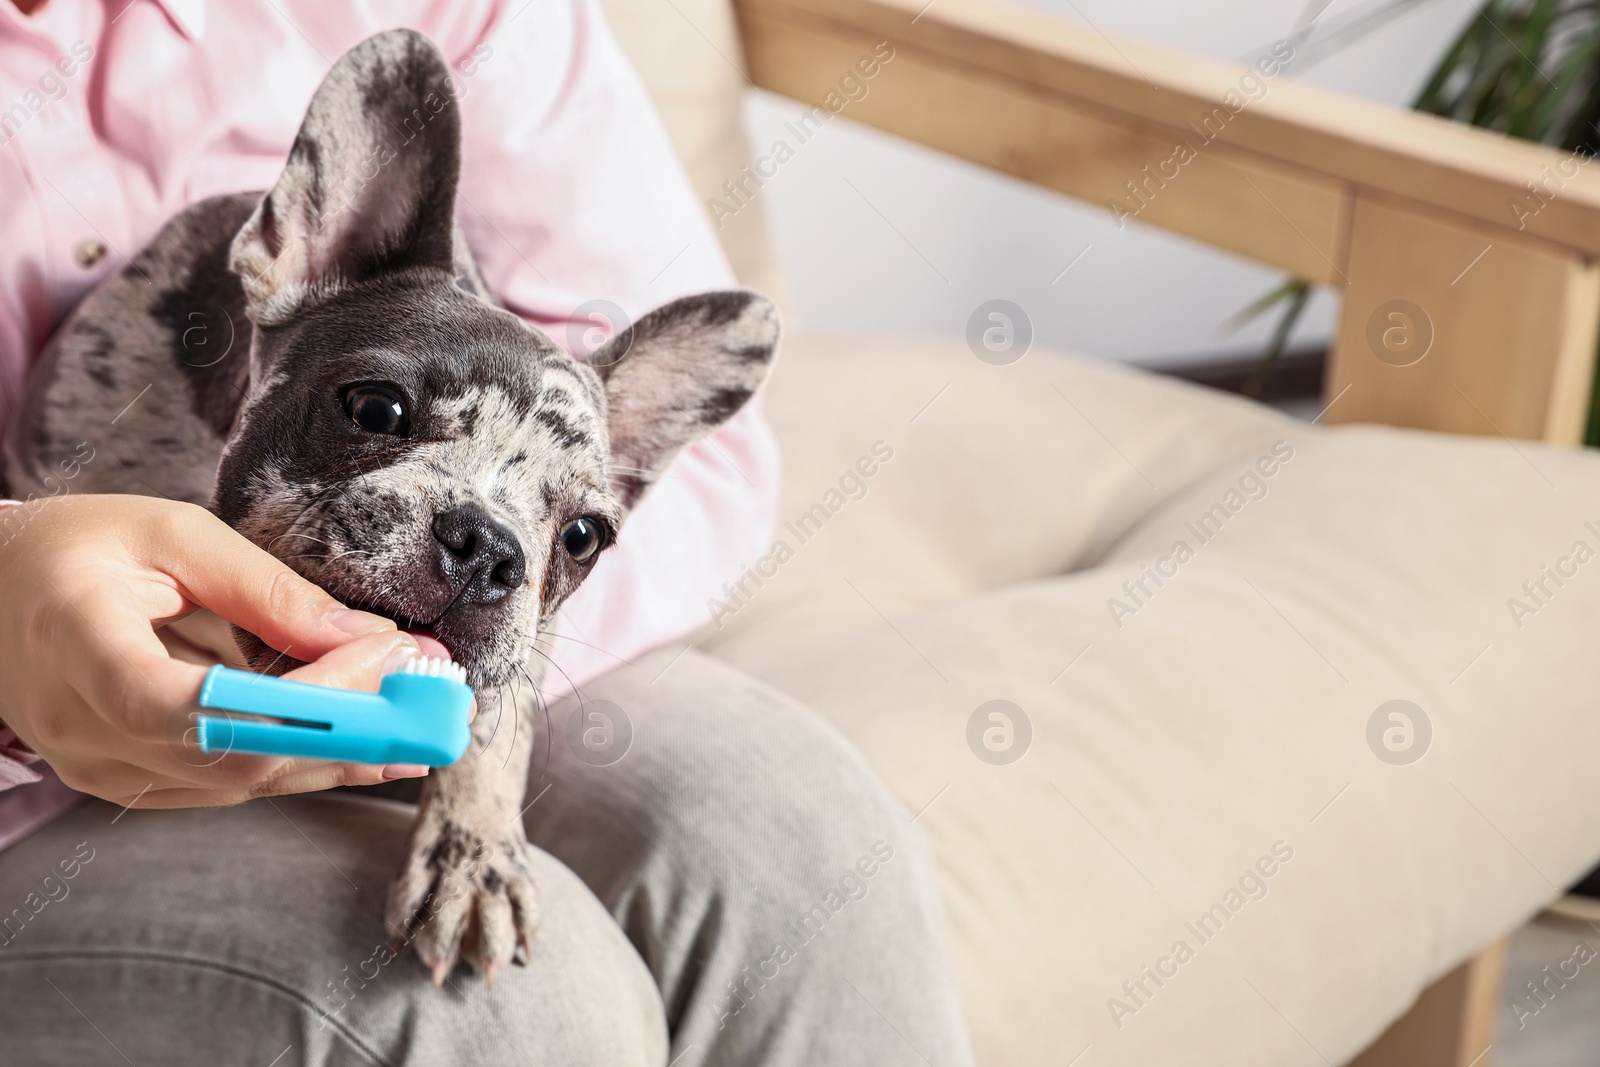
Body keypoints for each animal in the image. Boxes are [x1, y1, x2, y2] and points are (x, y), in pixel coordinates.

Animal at [0, 27, 774, 985]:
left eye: (584, 537)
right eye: (377, 409)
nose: (488, 546)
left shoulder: (527, 640)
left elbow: (494, 724)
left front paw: (473, 857)